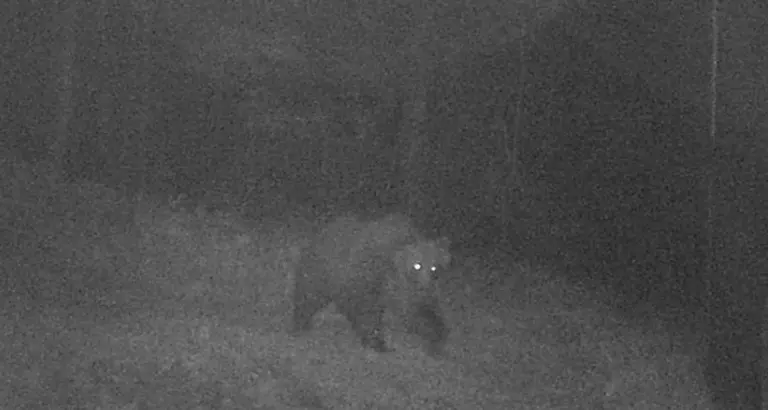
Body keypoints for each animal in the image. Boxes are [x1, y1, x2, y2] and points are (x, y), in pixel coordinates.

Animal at [290, 213, 451, 355]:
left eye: (434, 267)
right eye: (417, 265)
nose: (426, 284)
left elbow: (419, 311)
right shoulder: (371, 281)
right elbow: (369, 314)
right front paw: (378, 343)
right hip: (320, 273)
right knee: (308, 297)